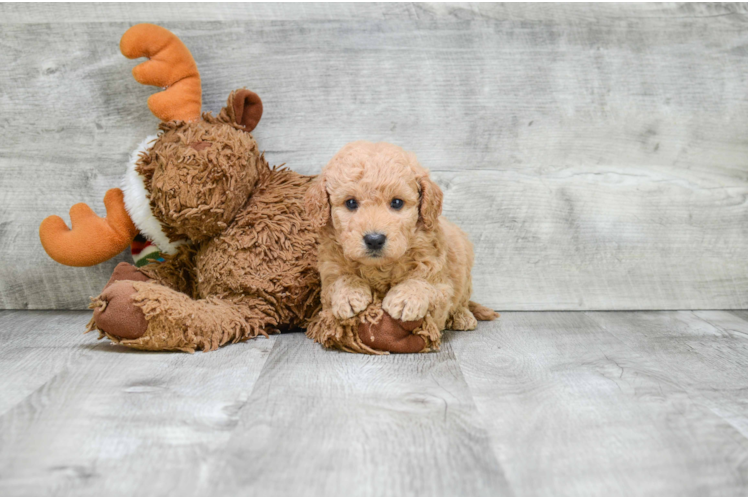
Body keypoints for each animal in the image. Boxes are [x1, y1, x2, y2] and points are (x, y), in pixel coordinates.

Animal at [304, 141, 496, 352]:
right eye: (351, 203)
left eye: (397, 203)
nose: (374, 239)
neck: (378, 267)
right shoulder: (328, 272)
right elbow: (338, 280)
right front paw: (349, 293)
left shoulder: (440, 283)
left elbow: (425, 283)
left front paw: (405, 298)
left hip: (465, 264)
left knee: (462, 299)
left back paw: (463, 317)